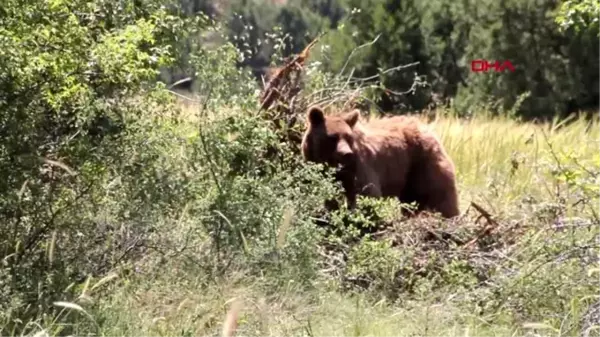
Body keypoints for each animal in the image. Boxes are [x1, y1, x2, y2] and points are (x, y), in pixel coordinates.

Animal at [300, 105, 460, 218]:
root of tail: (426, 128)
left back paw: (449, 215)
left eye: (348, 137)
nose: (346, 153)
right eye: (332, 137)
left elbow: (367, 192)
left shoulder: (359, 165)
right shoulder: (318, 169)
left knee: (438, 191)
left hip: (423, 160)